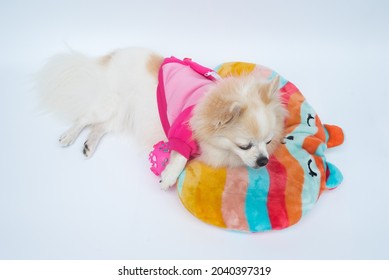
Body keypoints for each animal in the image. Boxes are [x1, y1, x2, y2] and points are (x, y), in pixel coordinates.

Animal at [36, 47, 284, 189]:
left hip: (121, 113)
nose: (264, 161)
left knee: (100, 127)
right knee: (85, 117)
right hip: (110, 104)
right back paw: (68, 136)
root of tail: (110, 58)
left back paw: (89, 144)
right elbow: (180, 155)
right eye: (244, 146)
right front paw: (169, 176)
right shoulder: (181, 131)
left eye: (268, 142)